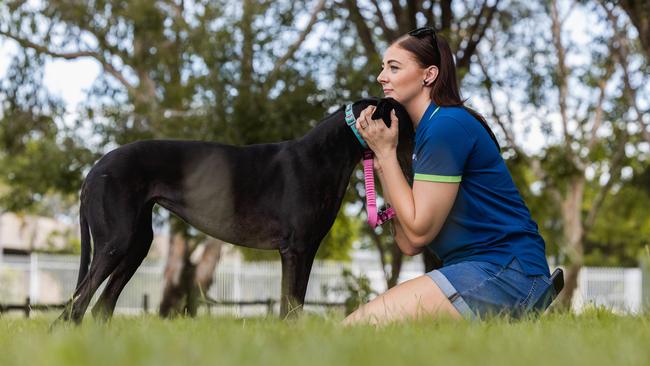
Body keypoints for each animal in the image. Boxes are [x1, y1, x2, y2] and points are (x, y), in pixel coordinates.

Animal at [60, 97, 412, 324]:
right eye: (404, 117)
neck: (327, 152)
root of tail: (94, 171)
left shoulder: (307, 248)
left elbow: (294, 302)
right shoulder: (295, 249)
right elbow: (290, 304)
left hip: (137, 245)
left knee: (98, 307)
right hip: (115, 242)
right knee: (77, 304)